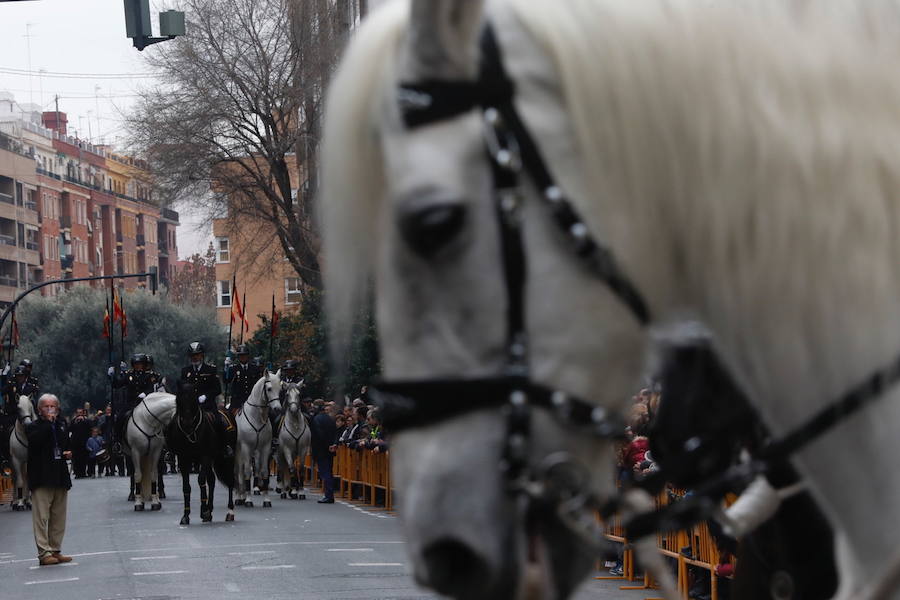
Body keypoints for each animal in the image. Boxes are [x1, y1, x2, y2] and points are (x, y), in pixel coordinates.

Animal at [236, 370, 282, 506]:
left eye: (280, 389)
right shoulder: (246, 447)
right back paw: (239, 497)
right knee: (239, 471)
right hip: (239, 452)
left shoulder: (265, 447)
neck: (256, 417)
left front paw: (266, 499)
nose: (277, 409)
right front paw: (248, 499)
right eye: (269, 388)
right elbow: (247, 472)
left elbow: (264, 471)